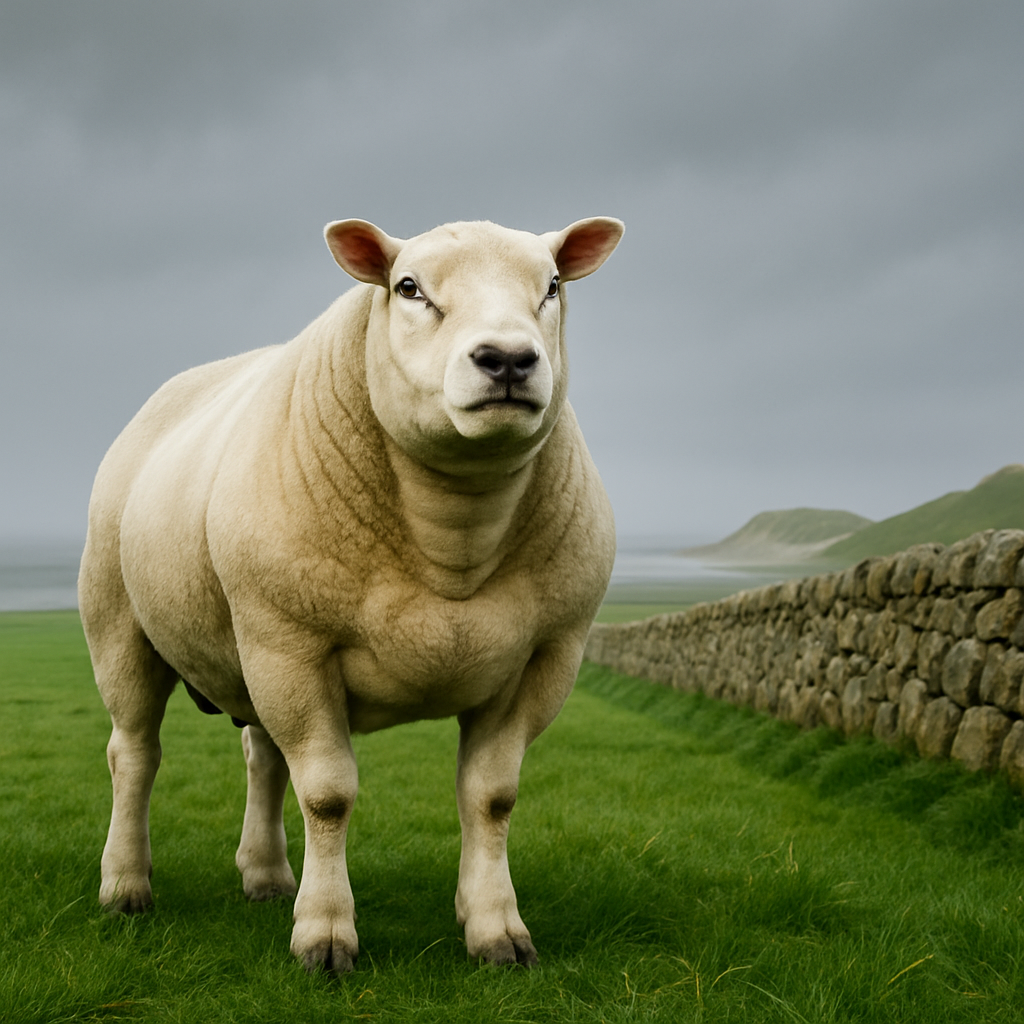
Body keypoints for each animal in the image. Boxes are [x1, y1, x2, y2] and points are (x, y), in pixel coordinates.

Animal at [78, 215, 623, 973]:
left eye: (551, 286)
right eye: (408, 287)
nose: (508, 360)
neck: (452, 538)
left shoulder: (547, 656)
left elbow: (492, 797)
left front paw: (496, 930)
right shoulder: (290, 641)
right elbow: (329, 795)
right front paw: (325, 936)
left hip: (252, 658)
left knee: (262, 759)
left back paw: (267, 876)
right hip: (124, 622)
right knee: (134, 753)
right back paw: (126, 887)